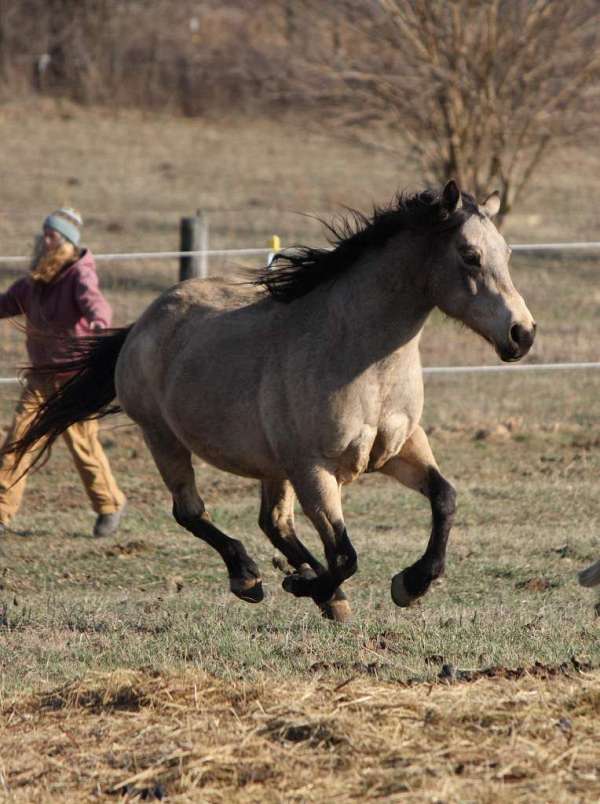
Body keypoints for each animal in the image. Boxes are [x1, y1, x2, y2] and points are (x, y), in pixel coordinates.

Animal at [8, 181, 536, 620]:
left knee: (273, 523)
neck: (360, 355)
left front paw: (410, 583)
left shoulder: (399, 450)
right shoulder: (314, 470)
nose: (522, 334)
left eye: (507, 253)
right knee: (192, 512)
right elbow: (346, 554)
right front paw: (319, 587)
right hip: (164, 438)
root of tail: (145, 321)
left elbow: (445, 498)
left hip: (271, 466)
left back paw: (310, 584)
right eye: (470, 255)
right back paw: (252, 578)